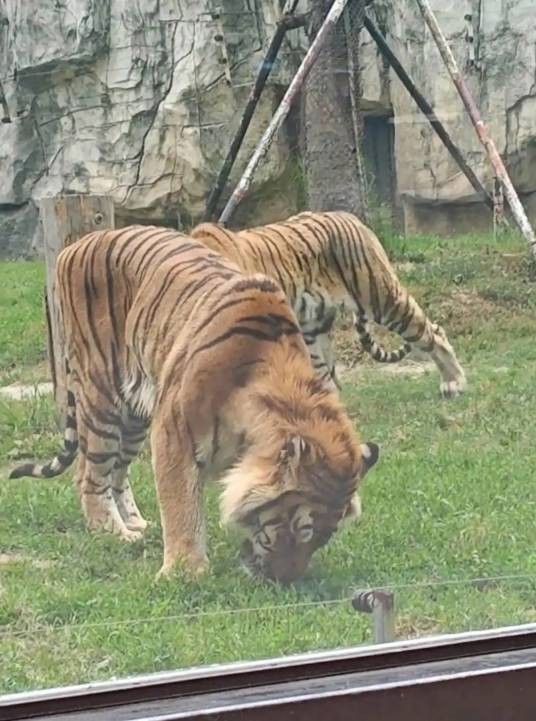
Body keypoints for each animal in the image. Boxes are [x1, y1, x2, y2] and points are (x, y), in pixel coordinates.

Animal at [9, 225, 379, 583]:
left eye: (324, 537)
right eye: (300, 528)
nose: (285, 581)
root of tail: (74, 247)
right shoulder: (173, 432)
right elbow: (181, 505)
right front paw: (185, 572)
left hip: (134, 414)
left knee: (117, 471)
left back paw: (137, 524)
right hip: (102, 396)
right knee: (90, 472)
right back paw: (113, 532)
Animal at [191, 211, 467, 398]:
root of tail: (351, 217)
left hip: (382, 297)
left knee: (433, 333)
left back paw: (454, 382)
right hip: (314, 327)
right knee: (329, 379)